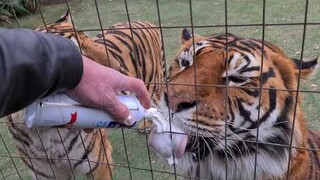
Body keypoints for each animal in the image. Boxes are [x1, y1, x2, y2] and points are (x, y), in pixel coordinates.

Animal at [4, 11, 165, 179]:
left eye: (90, 40)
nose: (118, 68)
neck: (47, 133)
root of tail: (145, 22)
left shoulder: (99, 163)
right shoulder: (46, 174)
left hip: (152, 83)